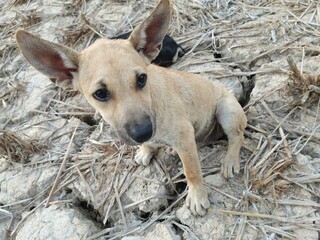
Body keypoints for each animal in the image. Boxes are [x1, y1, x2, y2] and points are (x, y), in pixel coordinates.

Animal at [15, 0, 246, 216]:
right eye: (100, 94)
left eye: (142, 79)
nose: (143, 133)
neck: (153, 102)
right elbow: (152, 145)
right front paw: (145, 150)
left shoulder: (184, 138)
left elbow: (192, 171)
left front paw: (197, 197)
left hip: (226, 110)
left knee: (237, 137)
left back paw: (229, 161)